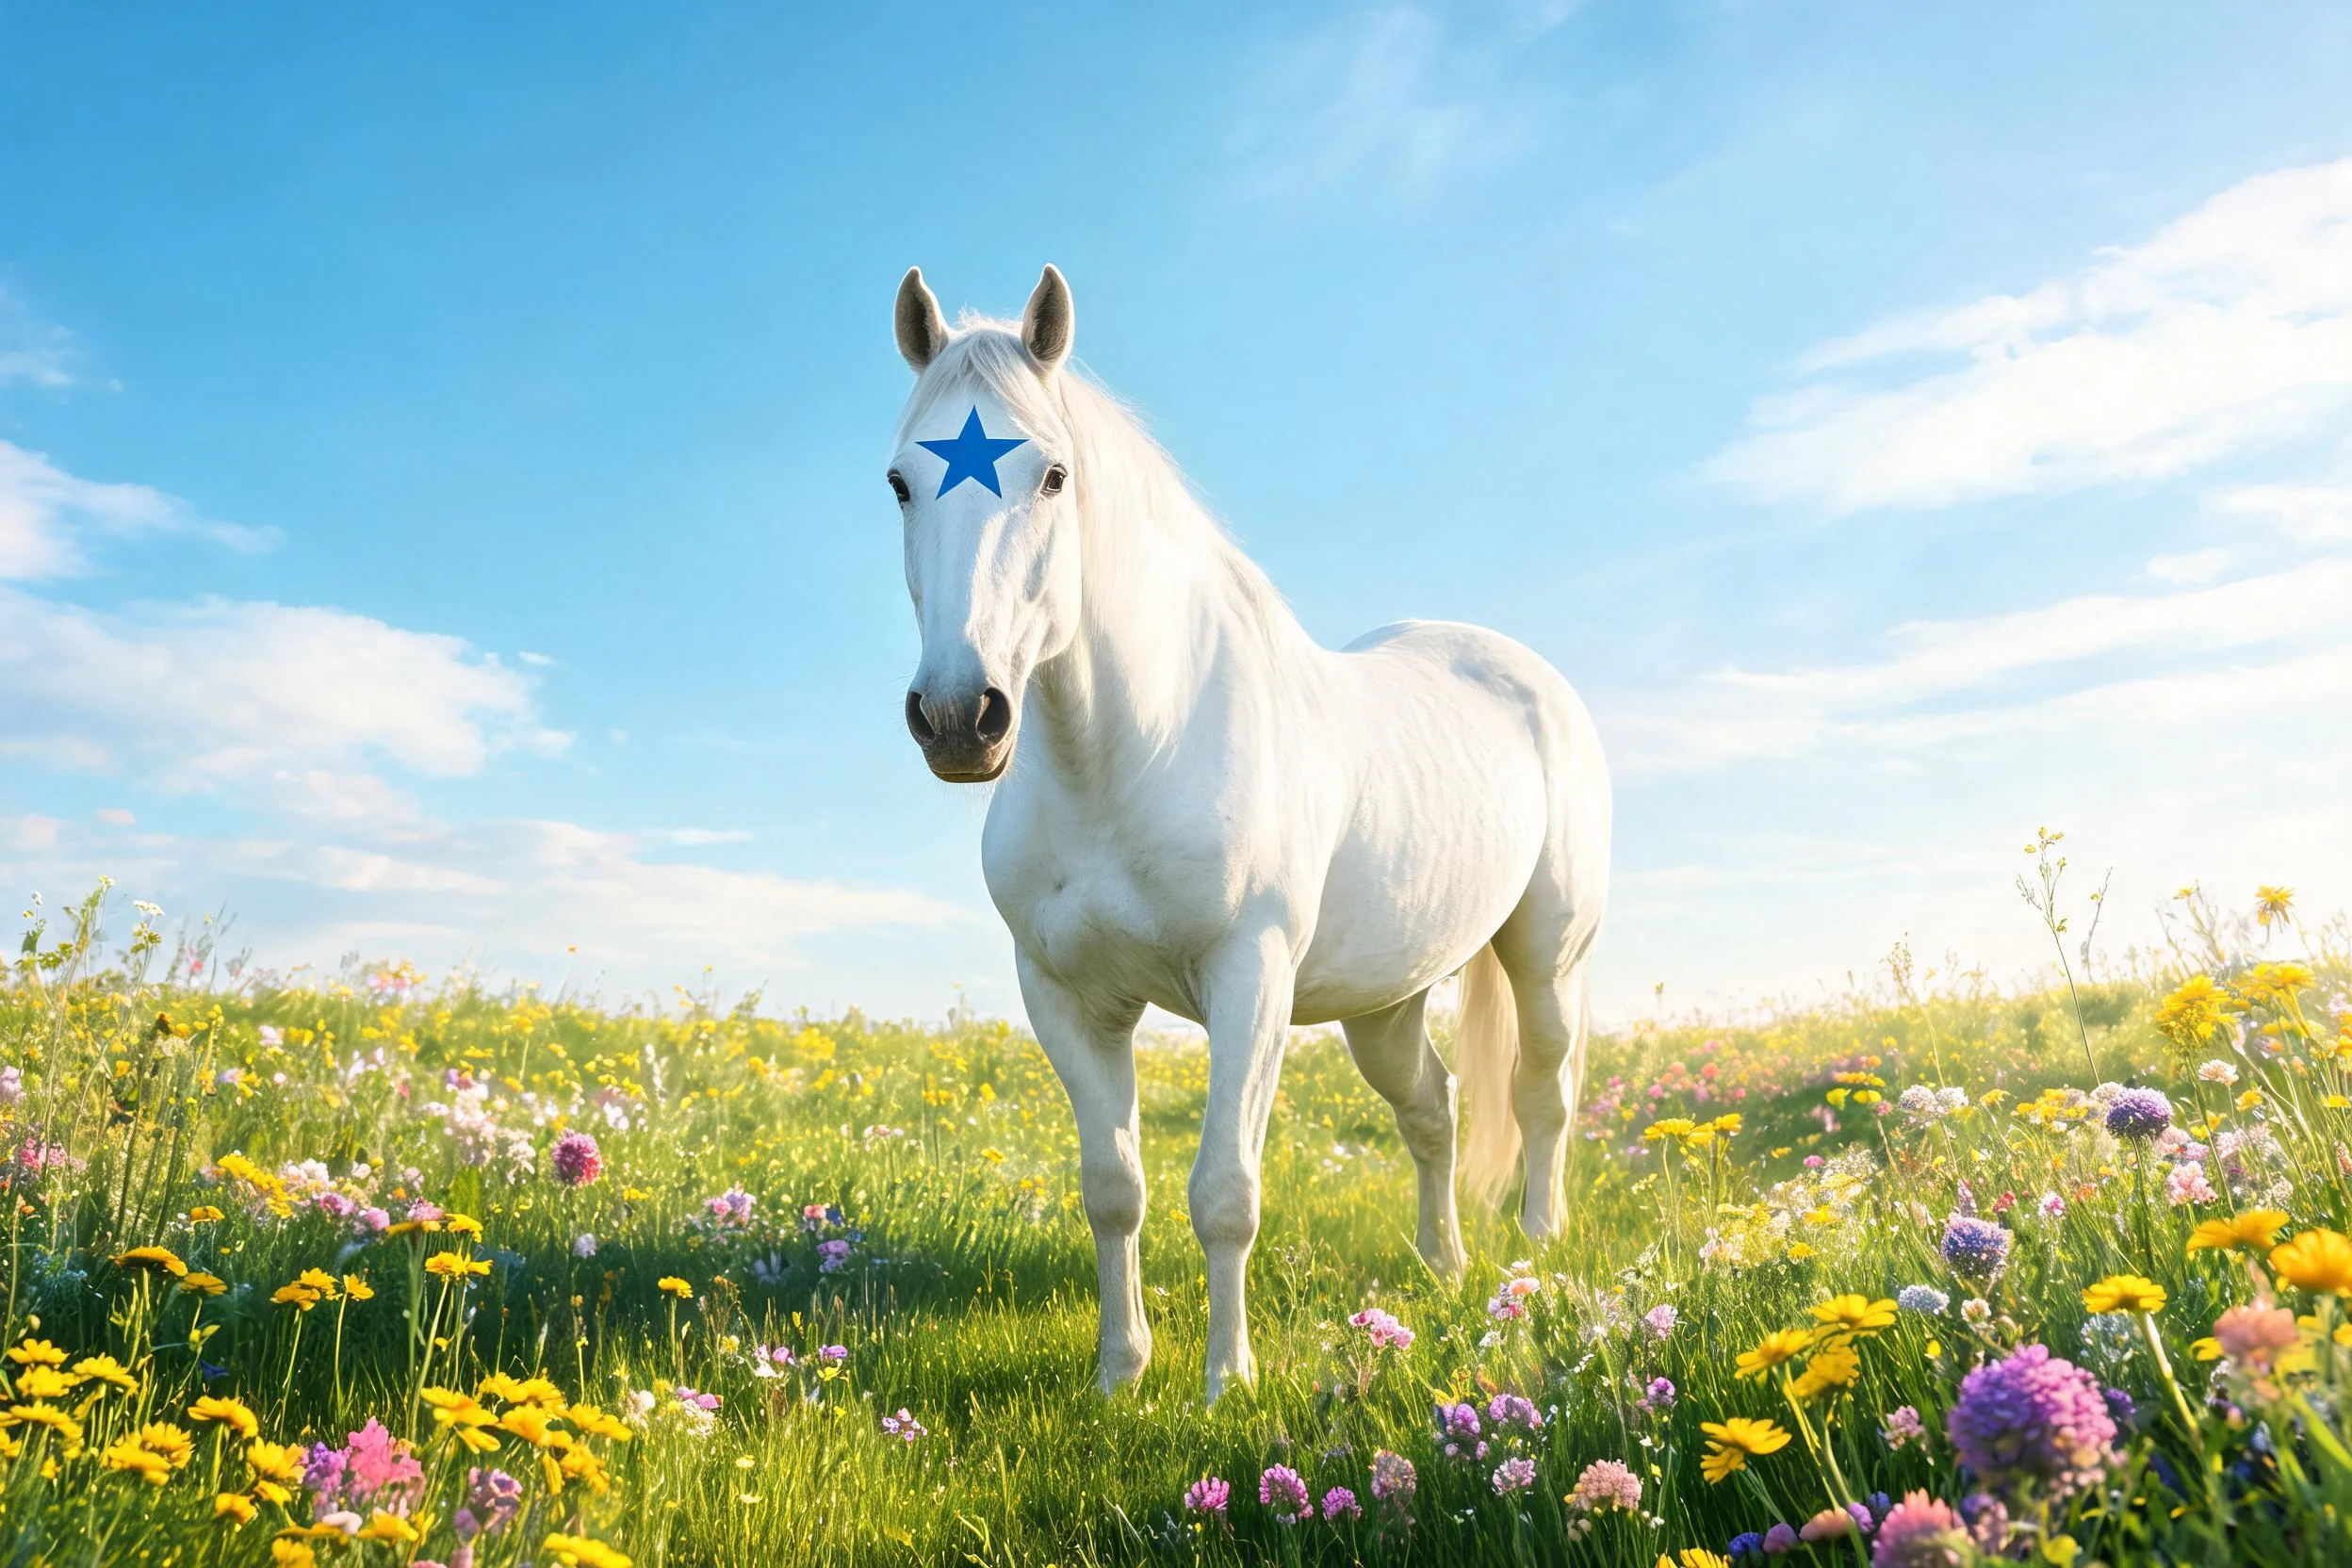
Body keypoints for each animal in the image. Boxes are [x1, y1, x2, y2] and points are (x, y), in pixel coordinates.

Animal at [885, 264, 1610, 1402]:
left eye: (1052, 475)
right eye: (900, 483)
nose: (961, 718)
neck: (1128, 752)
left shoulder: (1248, 981)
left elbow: (1225, 1189)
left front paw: (1228, 1380)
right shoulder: (1065, 999)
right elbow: (1113, 1186)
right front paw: (1121, 1372)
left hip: (1546, 956)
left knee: (1542, 1096)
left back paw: (1535, 1250)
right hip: (1385, 1002)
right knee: (1434, 1109)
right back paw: (1443, 1267)